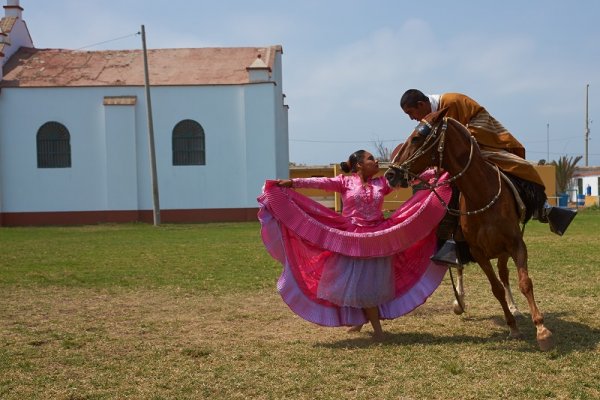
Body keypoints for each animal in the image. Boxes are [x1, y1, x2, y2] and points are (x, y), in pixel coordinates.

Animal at [390, 108, 552, 350]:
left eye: (417, 137)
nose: (390, 174)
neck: (482, 194)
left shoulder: (515, 244)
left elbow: (524, 282)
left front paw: (541, 329)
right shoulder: (477, 251)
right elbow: (495, 288)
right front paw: (512, 327)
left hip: (503, 250)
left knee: (504, 273)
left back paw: (514, 307)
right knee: (459, 267)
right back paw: (460, 301)